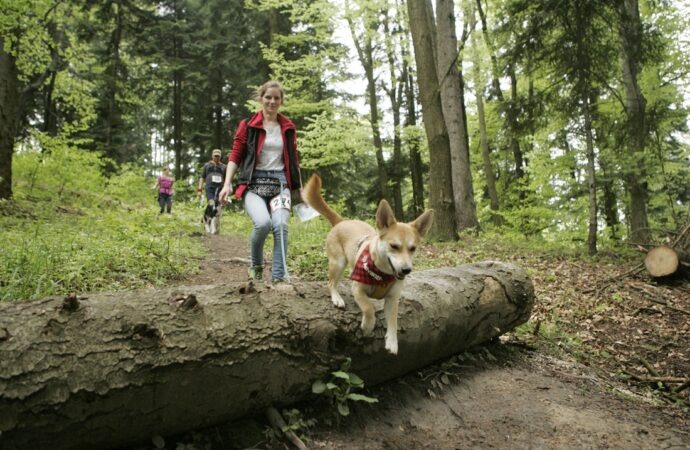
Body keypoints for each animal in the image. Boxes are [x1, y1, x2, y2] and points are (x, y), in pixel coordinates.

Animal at [300, 174, 430, 354]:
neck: (381, 274)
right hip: (337, 263)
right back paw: (337, 298)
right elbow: (368, 308)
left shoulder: (392, 299)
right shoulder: (358, 288)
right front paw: (368, 326)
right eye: (394, 246)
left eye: (413, 248)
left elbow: (394, 320)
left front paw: (392, 341)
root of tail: (342, 222)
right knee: (331, 283)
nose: (406, 270)